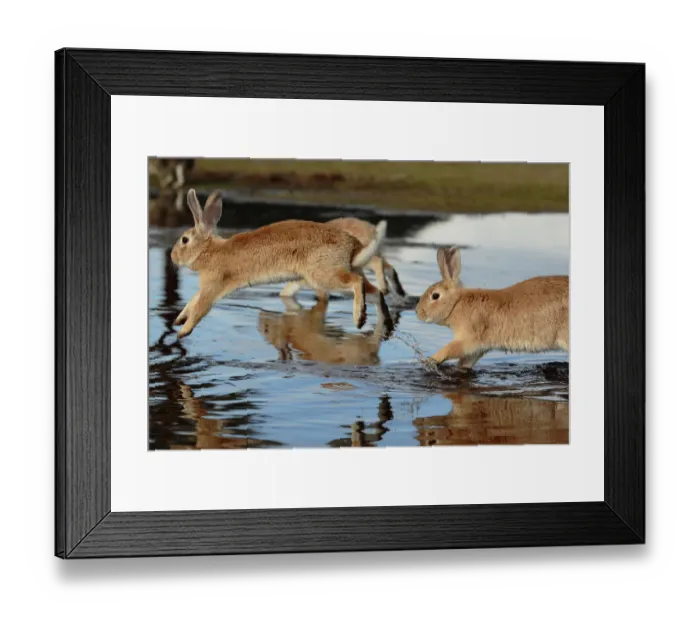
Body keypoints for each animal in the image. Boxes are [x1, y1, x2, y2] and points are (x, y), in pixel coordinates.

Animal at [170, 189, 388, 338]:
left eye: (184, 240)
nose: (172, 256)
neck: (210, 251)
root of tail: (353, 247)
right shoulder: (207, 285)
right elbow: (192, 301)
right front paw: (178, 319)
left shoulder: (213, 286)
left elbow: (200, 307)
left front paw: (183, 331)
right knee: (376, 292)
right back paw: (383, 325)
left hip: (325, 276)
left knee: (357, 282)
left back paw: (359, 319)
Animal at [416, 246, 569, 368]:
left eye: (435, 296)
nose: (418, 312)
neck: (457, 304)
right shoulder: (477, 349)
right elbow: (465, 363)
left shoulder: (468, 339)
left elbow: (450, 350)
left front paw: (430, 360)